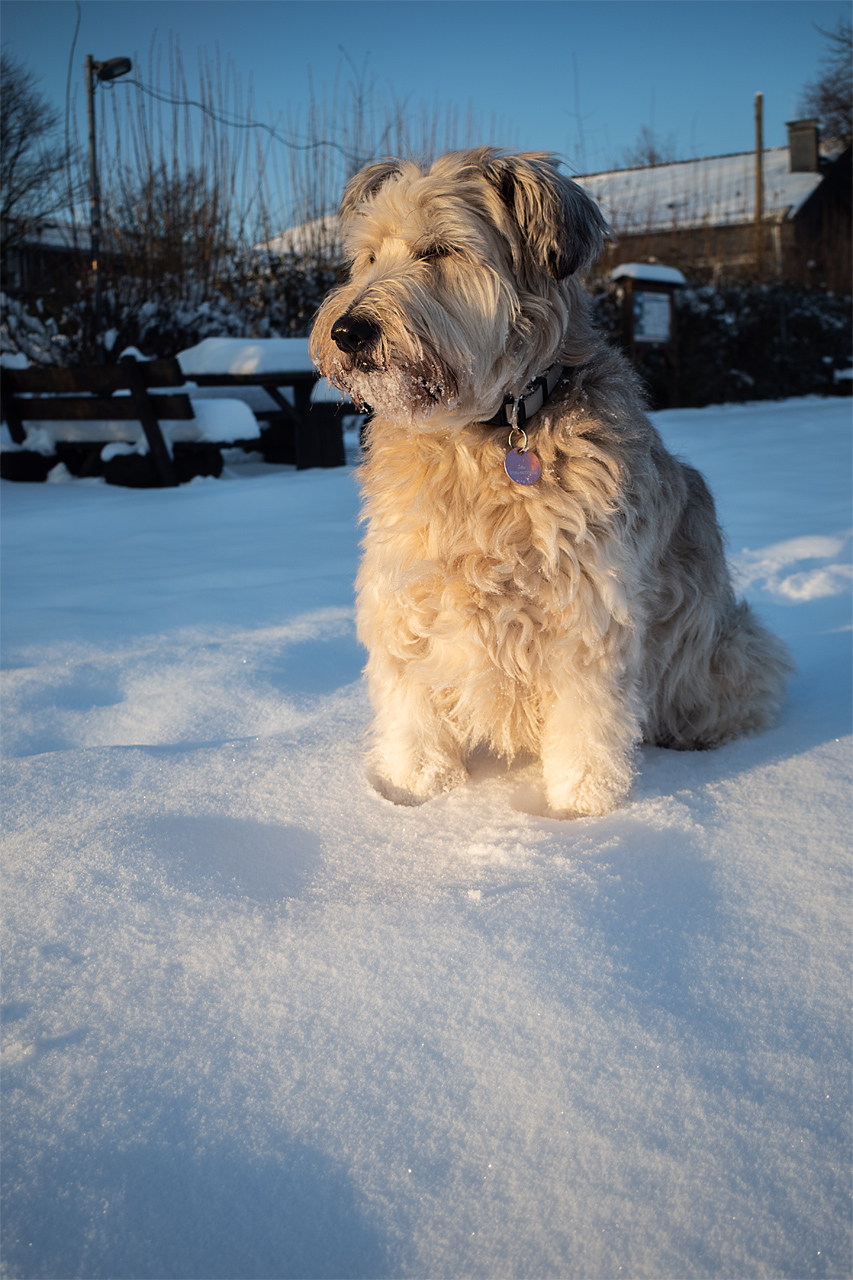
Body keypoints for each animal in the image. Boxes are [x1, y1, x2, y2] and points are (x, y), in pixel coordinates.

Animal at [311, 147, 788, 808]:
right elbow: (413, 711)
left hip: (728, 646)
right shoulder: (407, 596)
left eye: (439, 249)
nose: (348, 331)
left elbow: (585, 728)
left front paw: (582, 813)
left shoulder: (588, 607)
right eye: (370, 257)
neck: (487, 432)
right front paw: (413, 794)